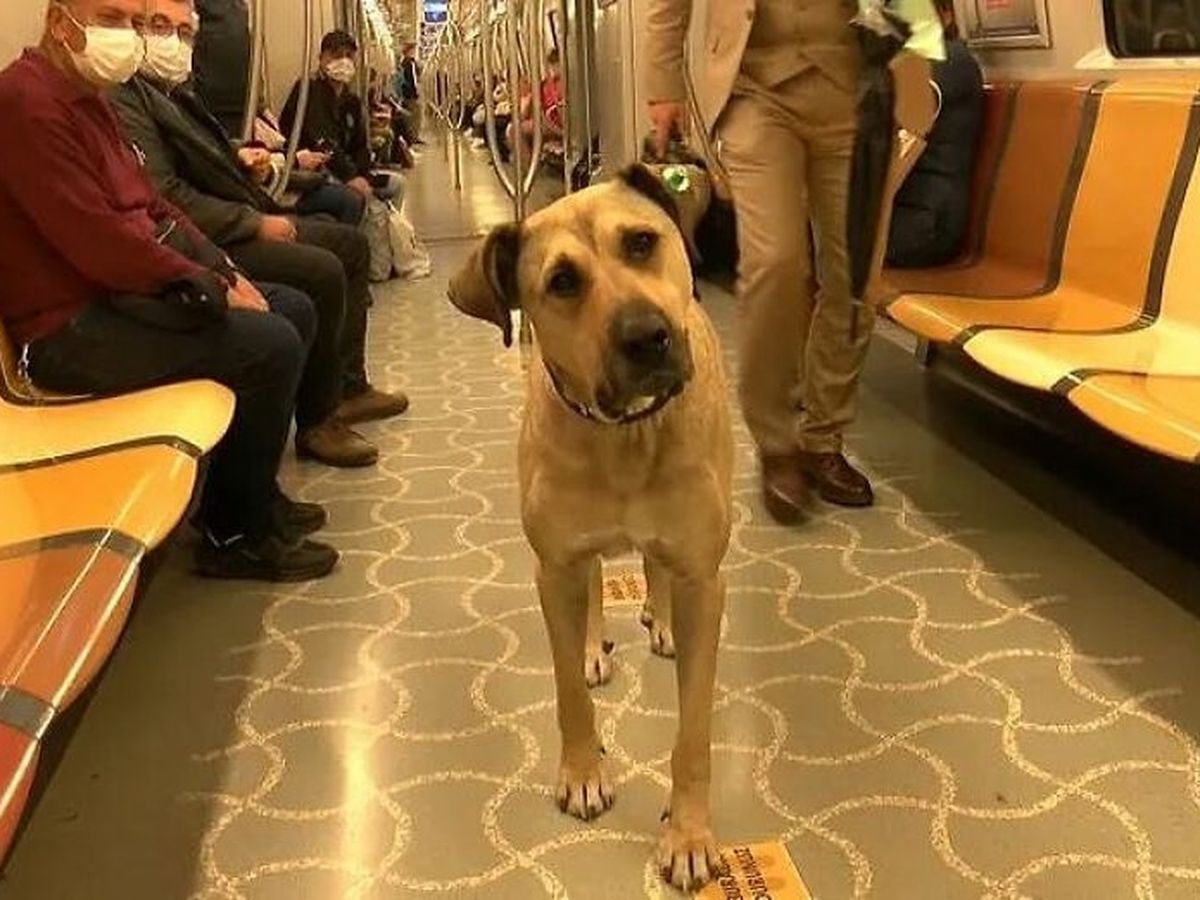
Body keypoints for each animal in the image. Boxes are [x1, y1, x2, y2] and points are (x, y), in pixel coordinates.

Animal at [448, 165, 729, 892]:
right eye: (562, 282)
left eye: (641, 242)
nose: (645, 335)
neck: (625, 435)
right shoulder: (552, 568)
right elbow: (568, 693)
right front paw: (581, 771)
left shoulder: (703, 577)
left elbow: (693, 732)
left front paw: (689, 833)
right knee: (596, 580)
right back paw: (592, 641)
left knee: (652, 570)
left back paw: (658, 619)